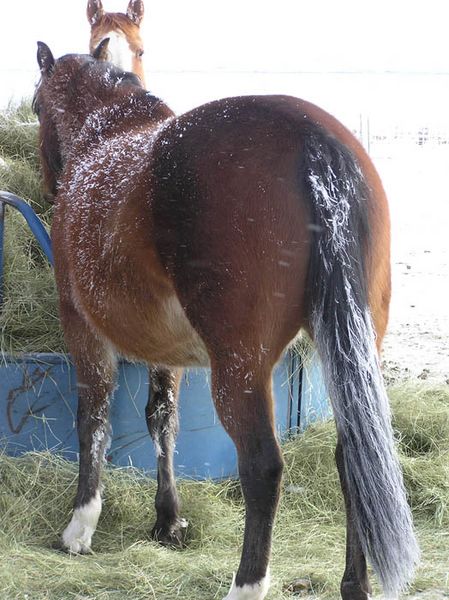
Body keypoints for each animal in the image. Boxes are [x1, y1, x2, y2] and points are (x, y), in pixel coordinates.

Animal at [33, 39, 418, 596]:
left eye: (38, 106)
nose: (48, 182)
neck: (106, 132)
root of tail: (311, 139)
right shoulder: (166, 349)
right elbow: (162, 420)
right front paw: (168, 519)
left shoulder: (81, 326)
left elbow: (94, 419)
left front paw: (81, 525)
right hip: (352, 347)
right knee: (351, 459)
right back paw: (354, 584)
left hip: (240, 365)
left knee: (262, 467)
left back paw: (247, 582)